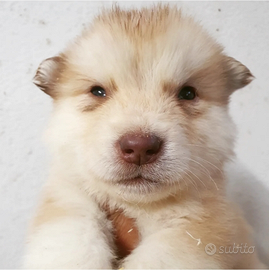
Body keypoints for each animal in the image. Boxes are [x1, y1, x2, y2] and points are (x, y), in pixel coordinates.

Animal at [23, 5, 266, 268]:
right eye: (98, 92)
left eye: (187, 93)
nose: (139, 147)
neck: (136, 206)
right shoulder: (68, 198)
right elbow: (70, 239)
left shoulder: (197, 222)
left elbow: (159, 256)